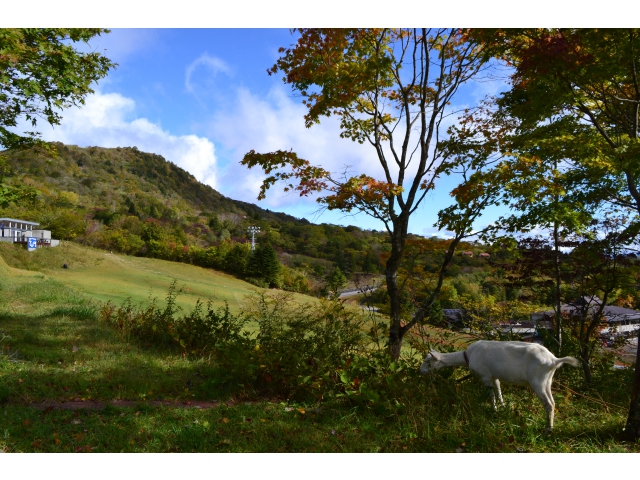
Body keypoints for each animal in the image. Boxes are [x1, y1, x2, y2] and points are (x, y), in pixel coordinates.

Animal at [420, 340, 580, 434]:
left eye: (428, 362)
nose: (420, 371)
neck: (468, 356)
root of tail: (554, 360)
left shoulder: (485, 375)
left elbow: (491, 394)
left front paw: (494, 410)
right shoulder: (494, 376)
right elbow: (498, 390)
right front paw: (503, 407)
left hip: (538, 381)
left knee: (548, 404)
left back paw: (548, 430)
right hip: (547, 381)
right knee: (553, 402)